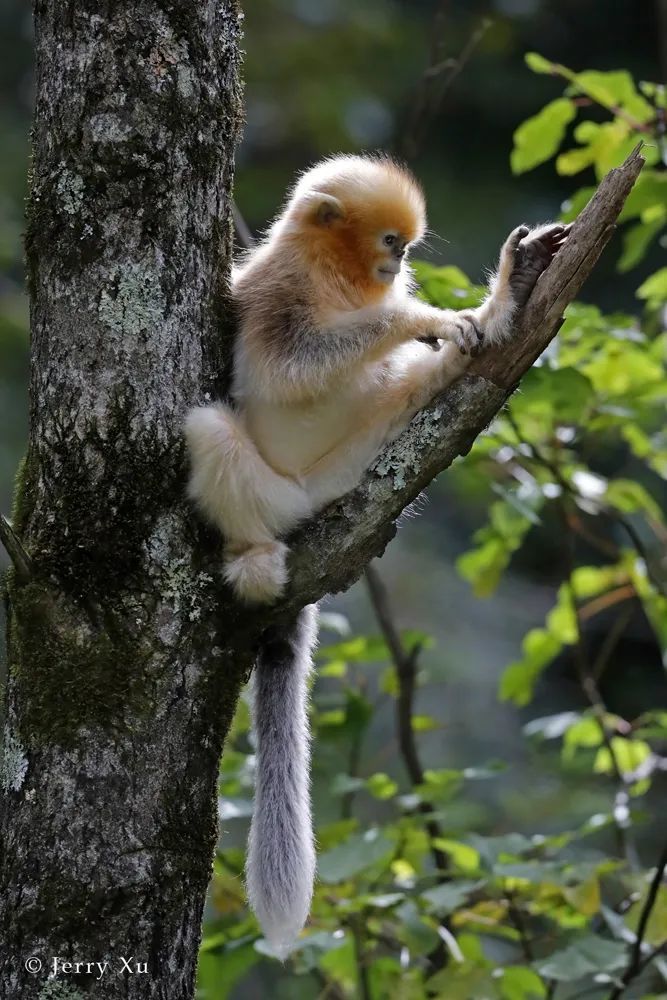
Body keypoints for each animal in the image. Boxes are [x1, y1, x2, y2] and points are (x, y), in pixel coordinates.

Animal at [187, 152, 568, 956]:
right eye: (391, 241)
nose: (398, 265)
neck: (335, 274)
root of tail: (307, 502)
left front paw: (478, 311)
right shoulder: (274, 294)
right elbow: (290, 369)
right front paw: (426, 317)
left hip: (356, 454)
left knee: (413, 386)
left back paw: (496, 315)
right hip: (274, 489)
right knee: (206, 426)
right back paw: (253, 555)